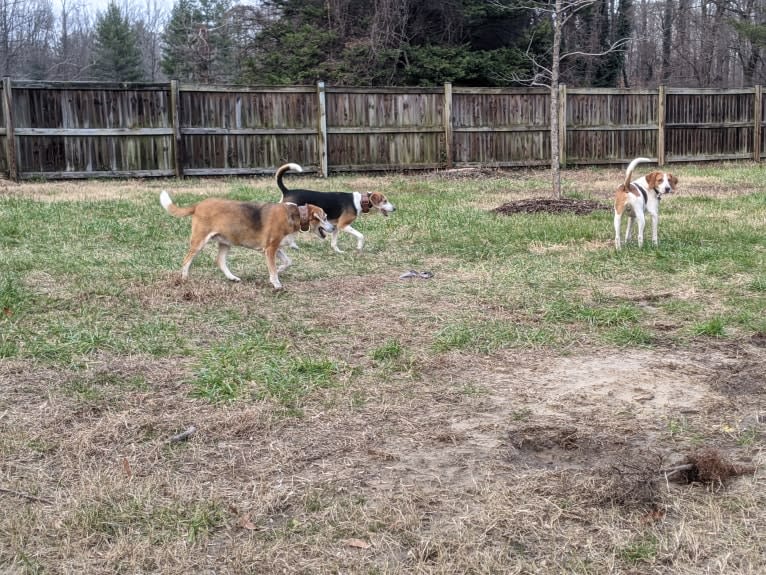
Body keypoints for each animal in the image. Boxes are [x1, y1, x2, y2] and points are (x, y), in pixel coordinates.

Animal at [161, 192, 336, 290]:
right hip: (199, 242)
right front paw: (276, 283)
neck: (297, 215)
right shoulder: (270, 249)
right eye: (325, 217)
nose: (334, 227)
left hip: (225, 242)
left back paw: (232, 278)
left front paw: (279, 271)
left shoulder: (276, 248)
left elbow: (287, 262)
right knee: (187, 260)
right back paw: (184, 278)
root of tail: (198, 205)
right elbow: (273, 269)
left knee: (220, 261)